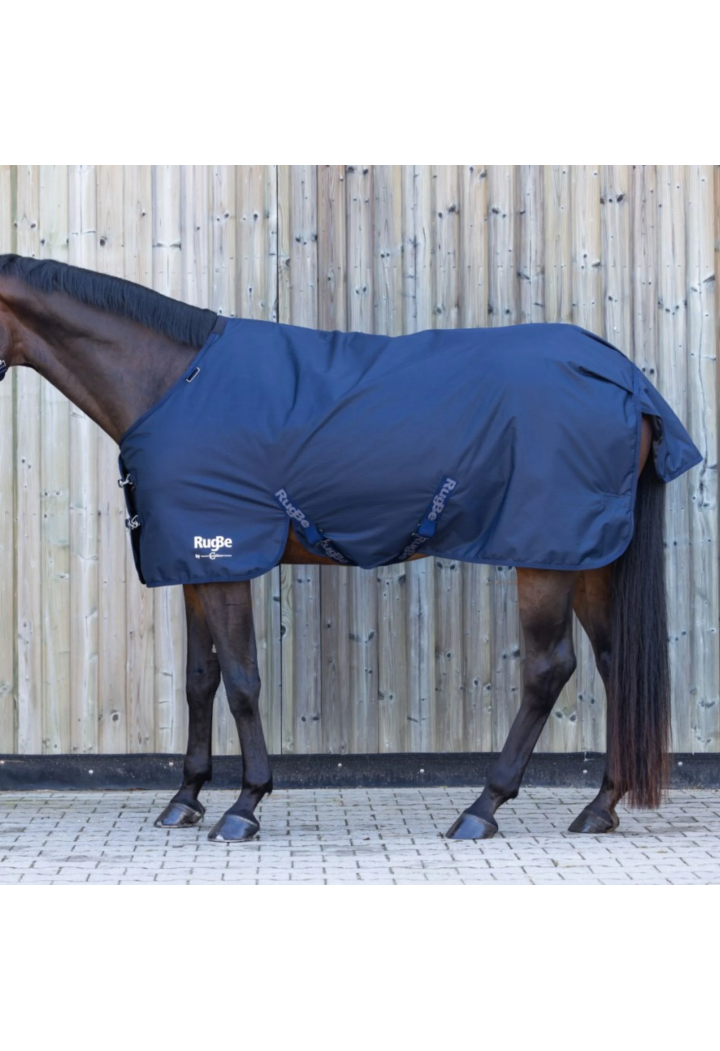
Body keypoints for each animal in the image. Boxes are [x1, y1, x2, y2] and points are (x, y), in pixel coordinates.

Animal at [0, 253, 701, 842]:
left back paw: (482, 808)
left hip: (545, 555)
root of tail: (626, 379)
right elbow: (201, 681)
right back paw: (600, 806)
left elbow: (242, 681)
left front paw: (244, 805)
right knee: (615, 664)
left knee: (548, 669)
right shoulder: (197, 561)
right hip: (588, 557)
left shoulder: (224, 558)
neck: (174, 381)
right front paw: (186, 798)